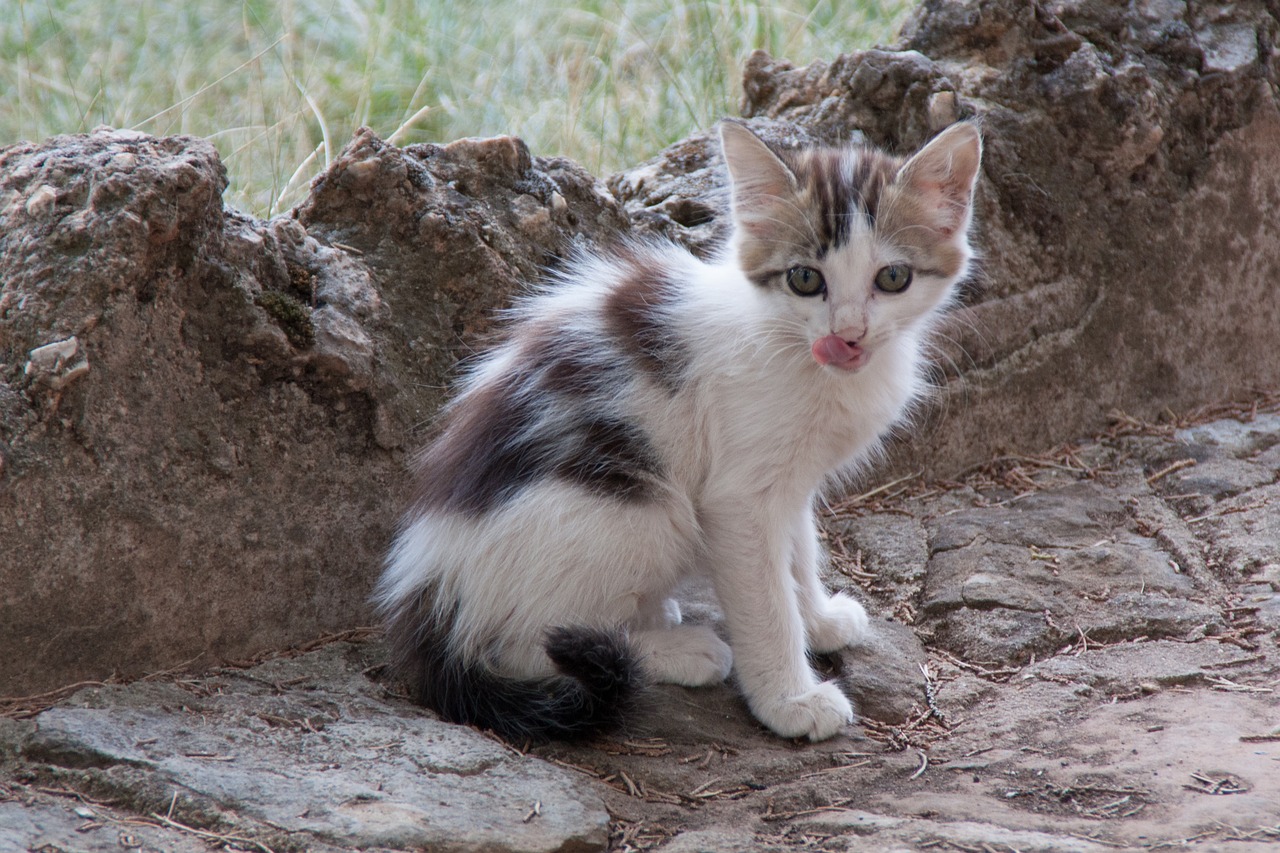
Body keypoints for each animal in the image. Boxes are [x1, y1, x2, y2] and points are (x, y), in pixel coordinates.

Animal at [373, 117, 983, 737]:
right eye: (805, 279)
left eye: (893, 277)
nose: (849, 334)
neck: (790, 345)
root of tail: (429, 595)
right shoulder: (738, 499)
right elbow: (766, 600)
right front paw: (790, 699)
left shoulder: (790, 480)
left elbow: (799, 549)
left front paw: (817, 618)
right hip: (644, 515)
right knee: (520, 646)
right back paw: (678, 649)